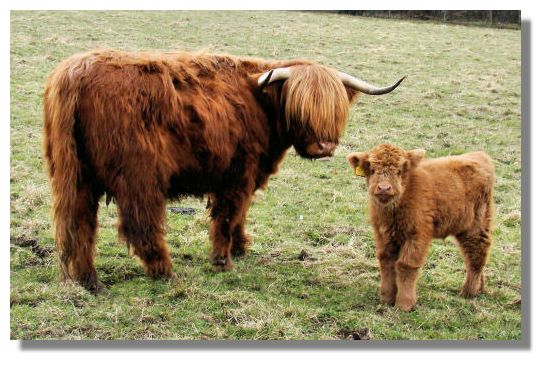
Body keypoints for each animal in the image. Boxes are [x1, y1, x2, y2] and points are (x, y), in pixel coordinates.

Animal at [43, 49, 404, 292]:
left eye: (334, 107)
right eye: (299, 104)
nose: (323, 147)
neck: (261, 101)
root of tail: (76, 71)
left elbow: (241, 214)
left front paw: (241, 248)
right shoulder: (238, 172)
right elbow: (229, 215)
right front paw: (222, 260)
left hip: (75, 176)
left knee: (79, 225)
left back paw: (88, 280)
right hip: (138, 177)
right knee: (140, 225)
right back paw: (164, 271)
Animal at [346, 144, 496, 308]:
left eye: (399, 171)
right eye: (372, 169)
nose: (384, 188)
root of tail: (480, 156)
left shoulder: (417, 234)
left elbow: (406, 265)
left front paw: (404, 304)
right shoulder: (383, 234)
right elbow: (386, 262)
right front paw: (386, 299)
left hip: (476, 224)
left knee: (477, 253)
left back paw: (468, 292)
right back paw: (479, 289)